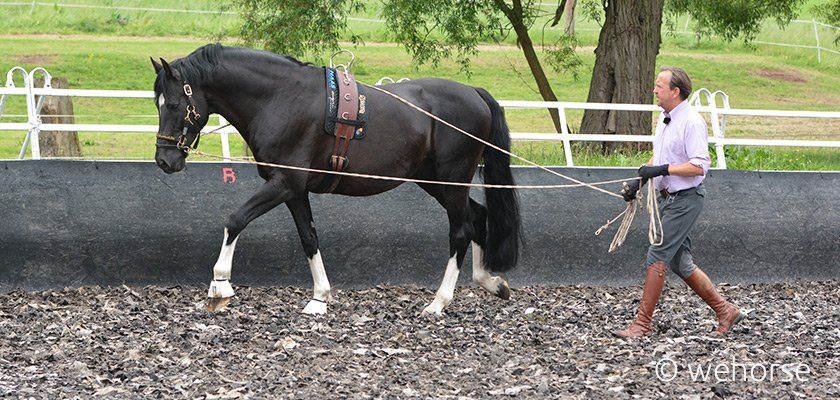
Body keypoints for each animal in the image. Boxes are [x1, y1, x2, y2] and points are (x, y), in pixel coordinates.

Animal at [151, 45, 520, 316]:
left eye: (174, 104)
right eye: (157, 104)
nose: (164, 160)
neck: (281, 99)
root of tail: (474, 93)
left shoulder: (284, 183)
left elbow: (235, 220)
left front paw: (220, 285)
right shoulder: (294, 191)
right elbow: (309, 238)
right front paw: (319, 298)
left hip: (451, 181)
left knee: (460, 231)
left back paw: (439, 302)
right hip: (434, 182)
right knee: (477, 216)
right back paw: (490, 282)